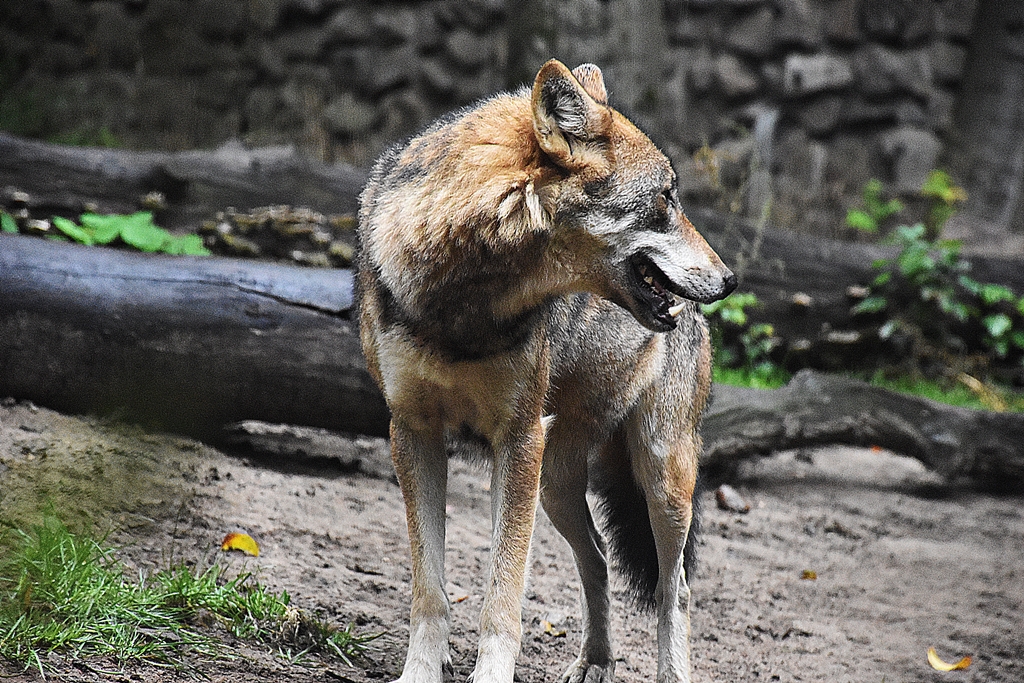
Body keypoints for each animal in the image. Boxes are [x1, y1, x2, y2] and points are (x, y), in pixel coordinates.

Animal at [356, 59, 736, 683]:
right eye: (665, 199)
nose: (730, 280)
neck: (463, 306)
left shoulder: (518, 438)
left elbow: (502, 597)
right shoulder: (412, 432)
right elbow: (429, 591)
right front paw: (420, 672)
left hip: (659, 475)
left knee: (673, 588)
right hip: (557, 485)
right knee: (600, 560)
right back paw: (596, 661)